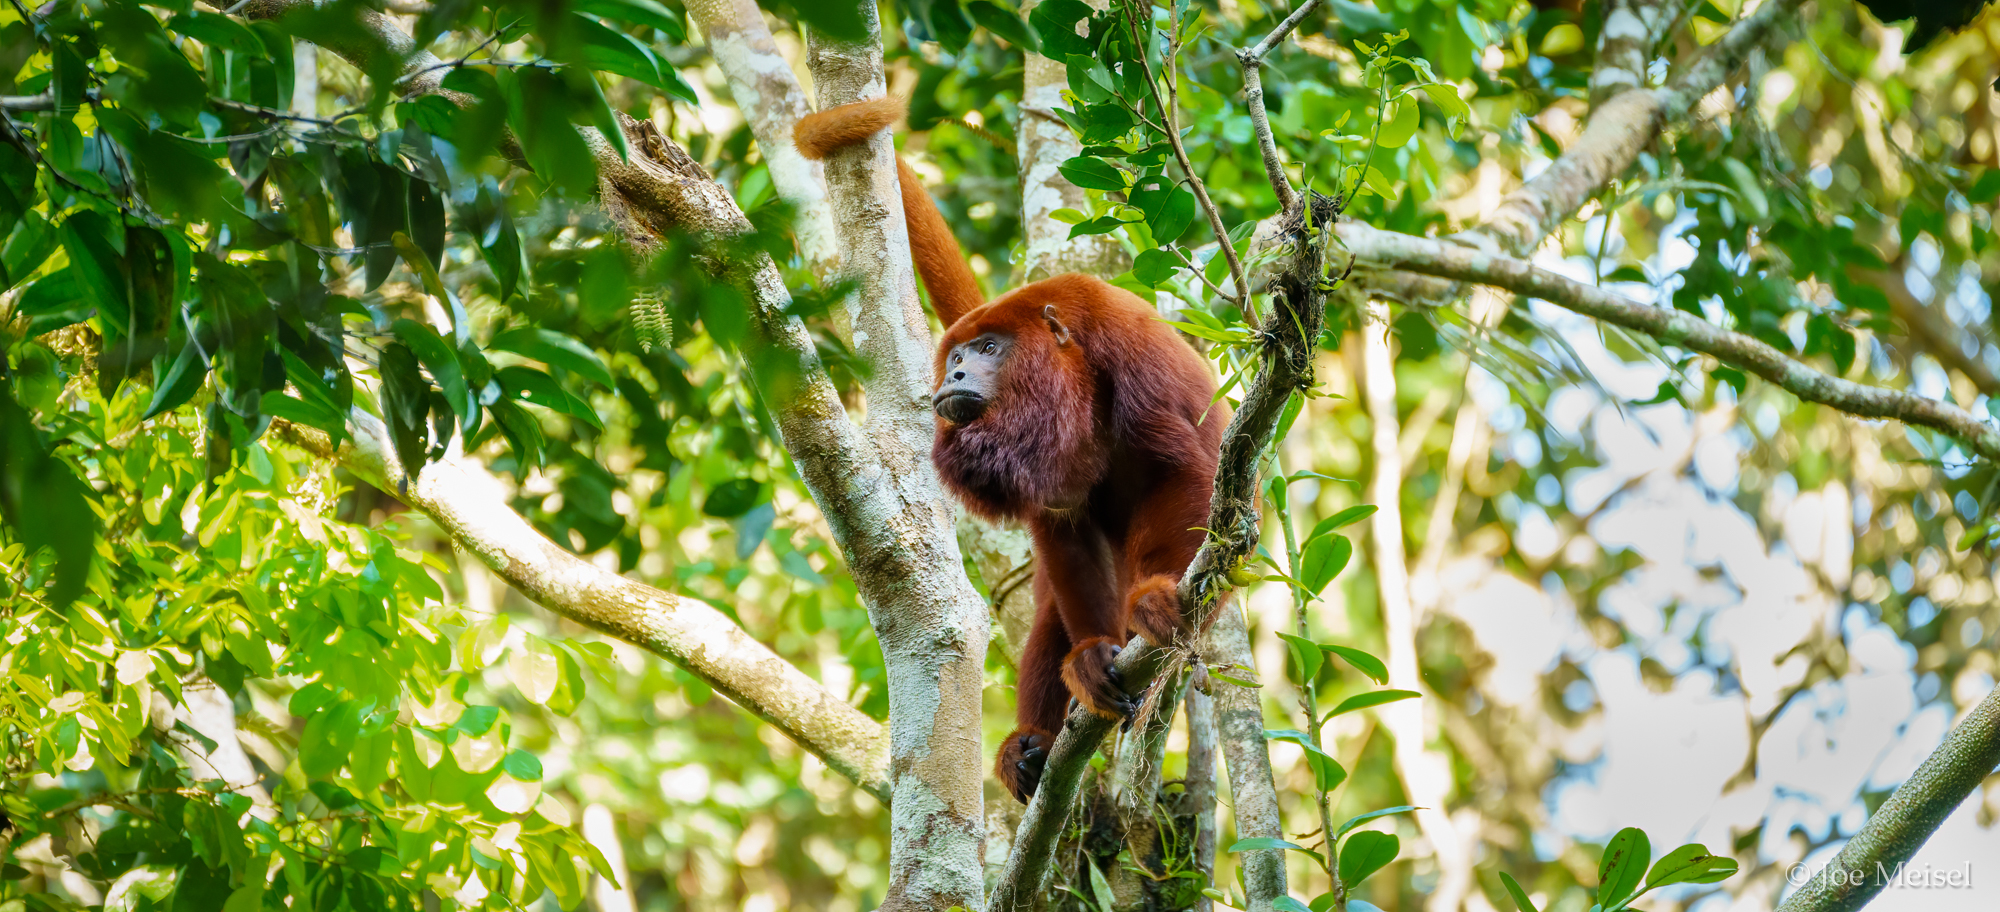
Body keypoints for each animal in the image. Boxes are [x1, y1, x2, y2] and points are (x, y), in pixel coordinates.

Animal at [792, 96, 1216, 800]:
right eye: (957, 356)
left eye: (988, 349)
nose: (955, 373)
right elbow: (1062, 526)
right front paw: (1093, 659)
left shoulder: (1130, 351)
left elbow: (1178, 471)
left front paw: (1153, 600)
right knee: (1049, 614)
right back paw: (1032, 745)